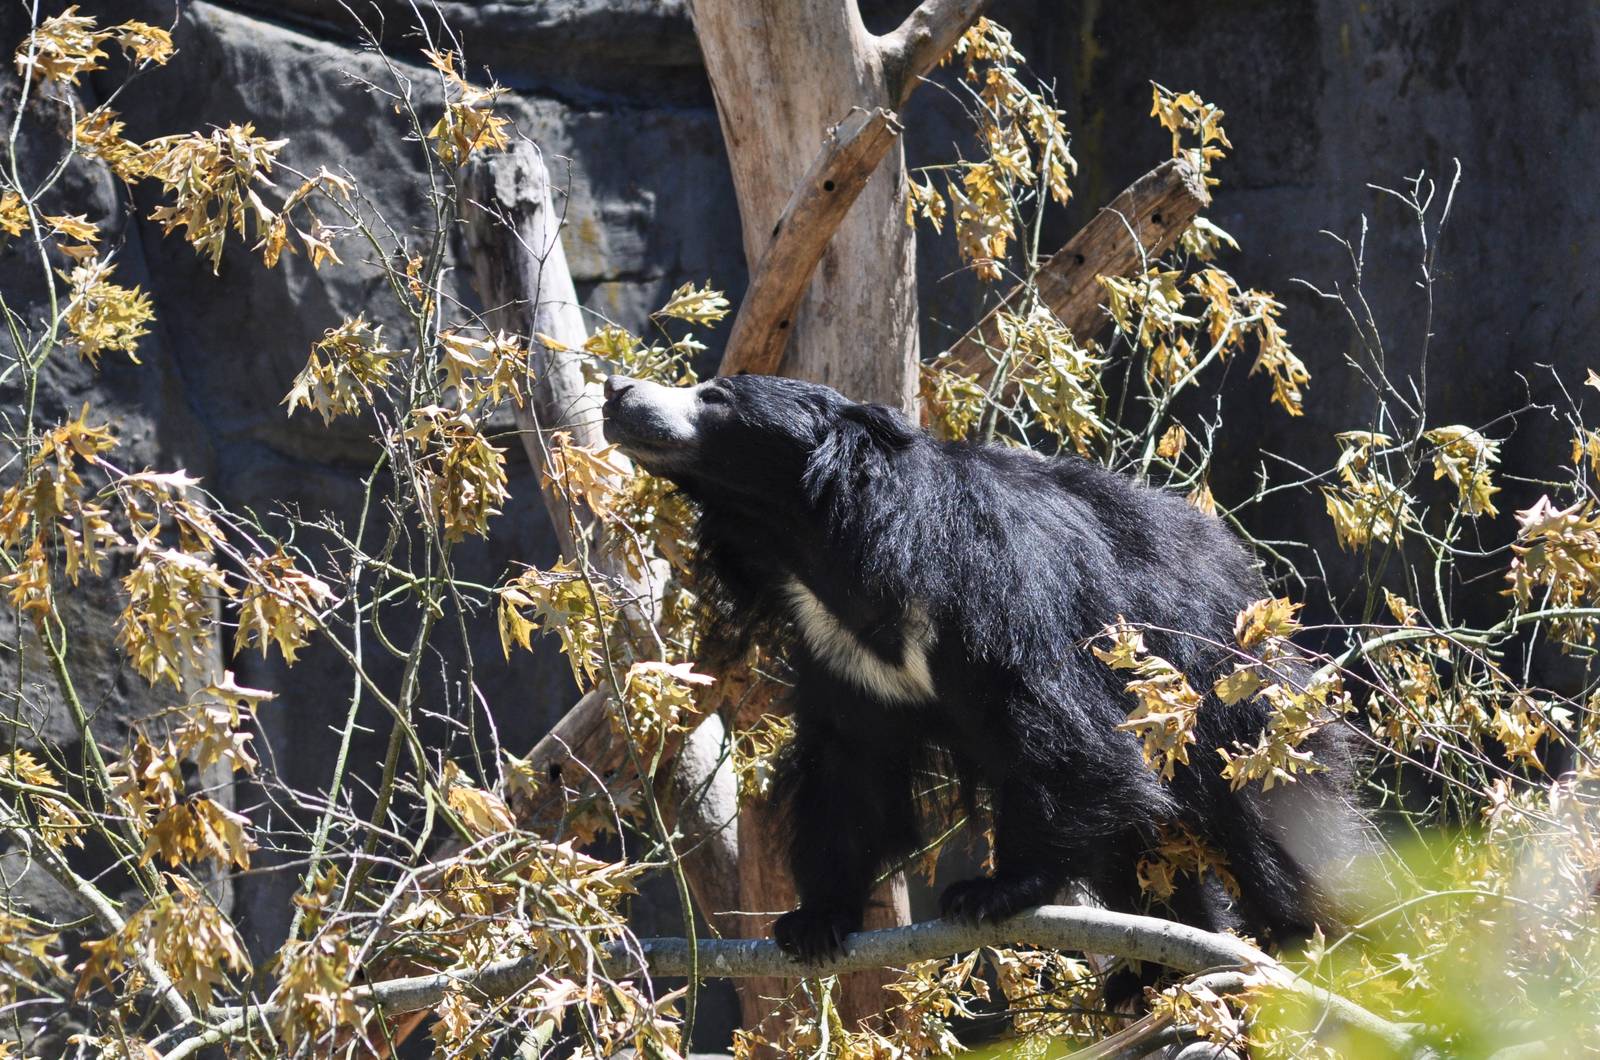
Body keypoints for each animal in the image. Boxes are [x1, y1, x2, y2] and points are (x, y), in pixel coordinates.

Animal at [600, 371, 1361, 965]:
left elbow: (1058, 730)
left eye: (716, 396)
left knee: (1277, 839)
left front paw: (992, 890)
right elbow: (849, 769)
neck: (821, 546)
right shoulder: (837, 648)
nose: (616, 391)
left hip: (1234, 709)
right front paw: (814, 921)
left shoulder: (993, 586)